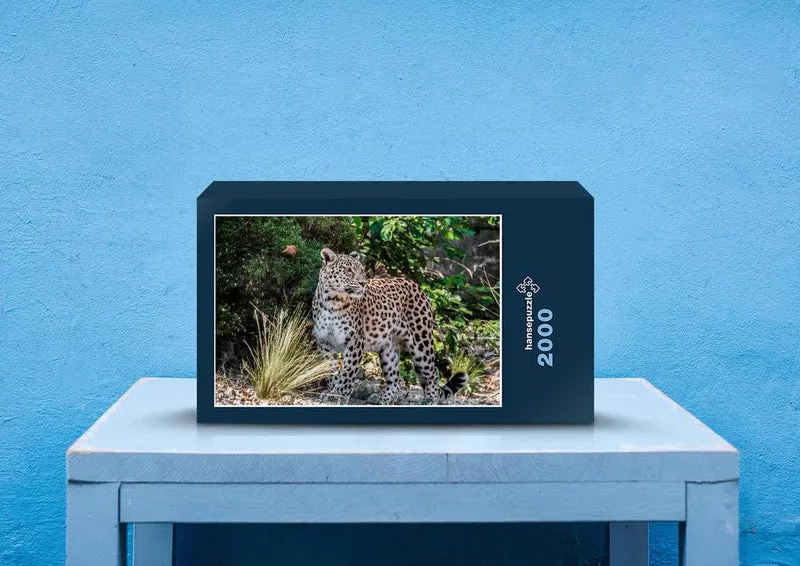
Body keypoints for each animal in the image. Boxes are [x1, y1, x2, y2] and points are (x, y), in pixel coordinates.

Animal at [312, 247, 468, 404]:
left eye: (362, 270)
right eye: (348, 271)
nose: (363, 283)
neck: (332, 301)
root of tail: (417, 286)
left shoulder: (355, 342)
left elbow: (348, 371)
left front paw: (339, 394)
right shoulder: (325, 343)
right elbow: (330, 370)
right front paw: (331, 390)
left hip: (421, 344)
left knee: (433, 372)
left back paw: (430, 399)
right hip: (388, 348)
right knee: (396, 378)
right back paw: (382, 398)